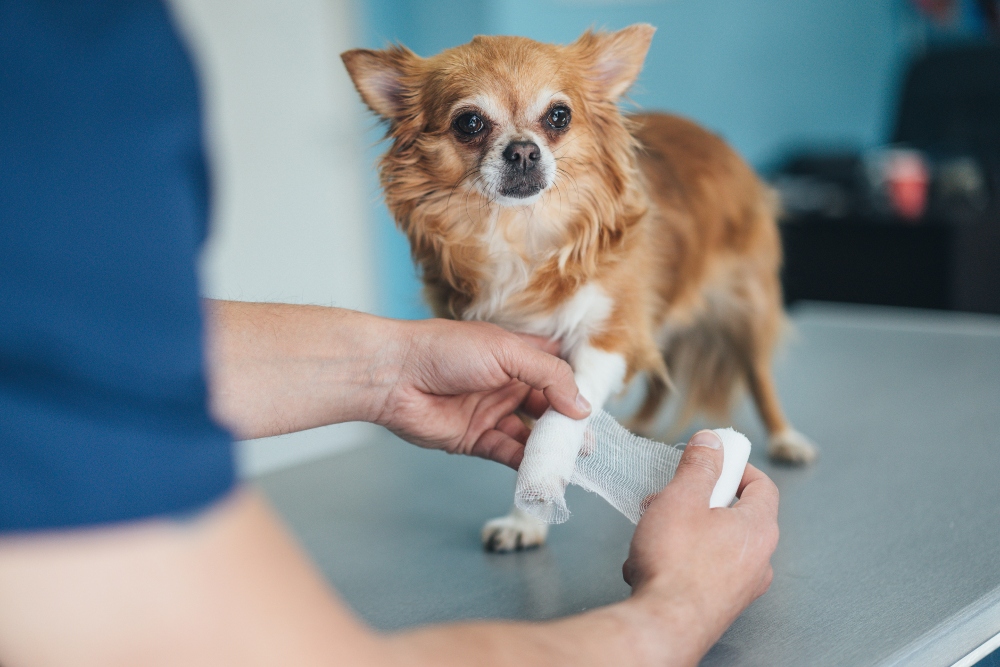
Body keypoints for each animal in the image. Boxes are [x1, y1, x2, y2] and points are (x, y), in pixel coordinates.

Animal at [342, 23, 812, 552]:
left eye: (559, 116)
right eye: (469, 123)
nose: (523, 150)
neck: (521, 233)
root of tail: (709, 135)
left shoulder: (608, 333)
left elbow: (563, 414)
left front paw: (543, 489)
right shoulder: (520, 352)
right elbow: (534, 434)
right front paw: (529, 516)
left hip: (746, 307)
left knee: (757, 374)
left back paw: (785, 438)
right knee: (660, 370)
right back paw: (641, 424)